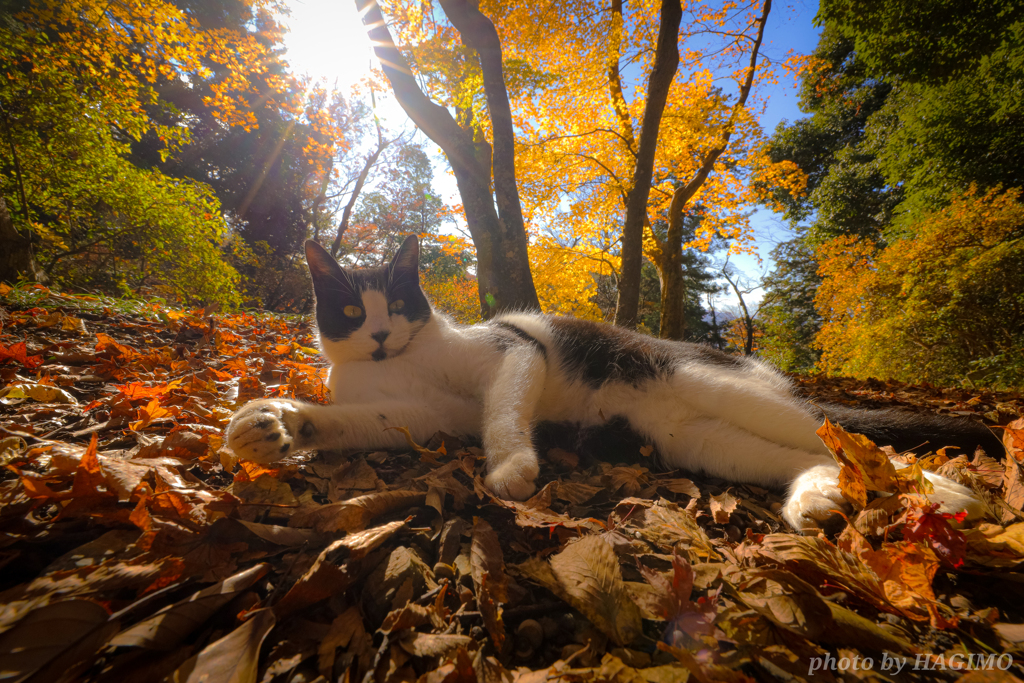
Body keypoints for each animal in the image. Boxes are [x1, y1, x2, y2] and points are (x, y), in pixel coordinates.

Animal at [224, 237, 999, 532]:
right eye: (353, 313)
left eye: (397, 303)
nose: (382, 336)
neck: (398, 365)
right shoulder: (417, 414)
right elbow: (363, 420)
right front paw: (277, 424)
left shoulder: (514, 353)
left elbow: (503, 409)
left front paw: (511, 465)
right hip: (700, 440)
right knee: (807, 451)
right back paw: (815, 496)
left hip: (715, 385)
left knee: (845, 435)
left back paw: (944, 490)